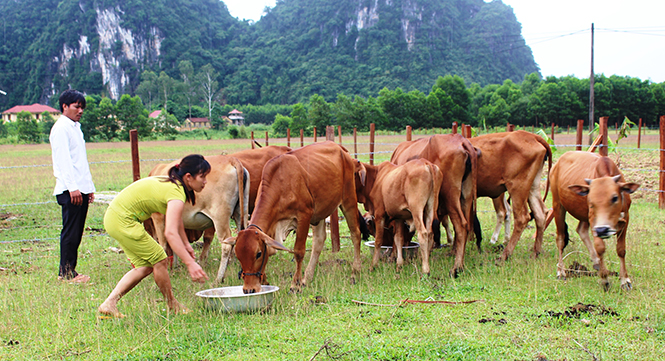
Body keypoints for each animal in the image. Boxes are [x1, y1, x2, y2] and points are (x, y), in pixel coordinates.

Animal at [147, 153, 248, 282]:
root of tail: (230, 159)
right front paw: (175, 266)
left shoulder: (158, 217)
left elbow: (164, 245)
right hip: (240, 212)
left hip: (220, 216)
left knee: (226, 244)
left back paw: (219, 278)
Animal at [226, 141, 366, 292]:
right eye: (238, 256)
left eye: (258, 254)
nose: (249, 289)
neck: (281, 183)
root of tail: (341, 148)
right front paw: (265, 281)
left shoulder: (304, 215)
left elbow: (298, 251)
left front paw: (295, 284)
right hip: (320, 211)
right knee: (319, 241)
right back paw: (307, 277)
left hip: (348, 199)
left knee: (355, 234)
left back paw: (355, 272)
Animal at [390, 133, 478, 276]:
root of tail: (461, 140)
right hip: (466, 196)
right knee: (465, 226)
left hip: (450, 194)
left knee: (461, 226)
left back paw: (456, 267)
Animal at [470, 131, 552, 260]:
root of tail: (532, 136)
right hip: (532, 187)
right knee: (540, 214)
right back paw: (536, 253)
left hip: (517, 188)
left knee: (520, 217)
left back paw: (505, 254)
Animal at [548, 151, 640, 290]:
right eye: (590, 201)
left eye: (615, 198)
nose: (602, 230)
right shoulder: (593, 221)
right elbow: (600, 247)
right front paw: (604, 278)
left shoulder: (626, 218)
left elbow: (621, 250)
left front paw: (625, 280)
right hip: (558, 205)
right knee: (560, 239)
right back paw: (561, 271)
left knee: (581, 230)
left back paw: (596, 262)